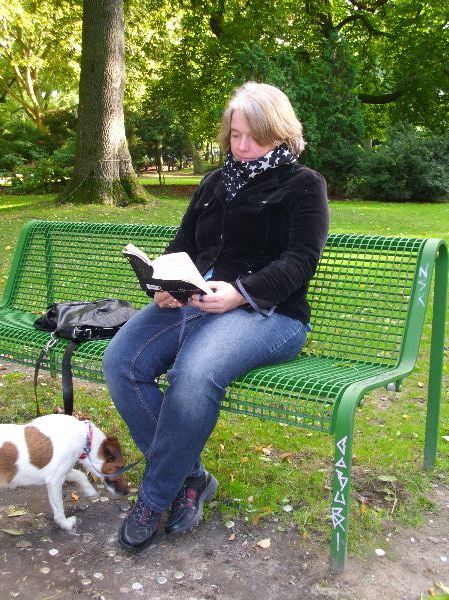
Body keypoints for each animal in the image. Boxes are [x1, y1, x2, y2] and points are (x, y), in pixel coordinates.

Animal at [0, 413, 128, 530]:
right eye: (121, 466)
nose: (126, 492)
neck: (86, 439)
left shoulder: (64, 470)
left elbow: (80, 475)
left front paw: (90, 490)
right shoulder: (54, 481)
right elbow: (59, 508)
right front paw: (65, 524)